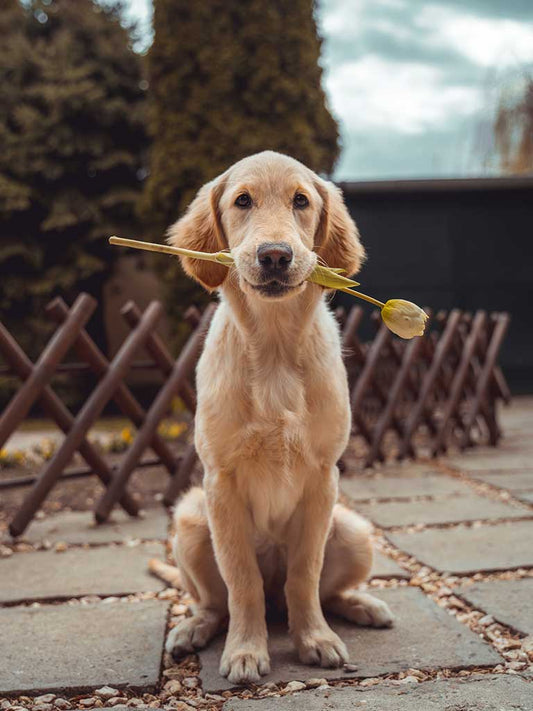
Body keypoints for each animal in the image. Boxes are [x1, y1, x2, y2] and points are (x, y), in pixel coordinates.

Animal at [149, 149, 390, 684]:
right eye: (243, 201)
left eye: (301, 201)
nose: (275, 255)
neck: (276, 347)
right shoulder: (220, 482)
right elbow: (243, 581)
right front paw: (244, 650)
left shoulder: (323, 478)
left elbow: (305, 574)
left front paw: (314, 640)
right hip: (190, 521)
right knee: (217, 601)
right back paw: (193, 629)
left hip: (354, 529)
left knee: (322, 590)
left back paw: (360, 605)